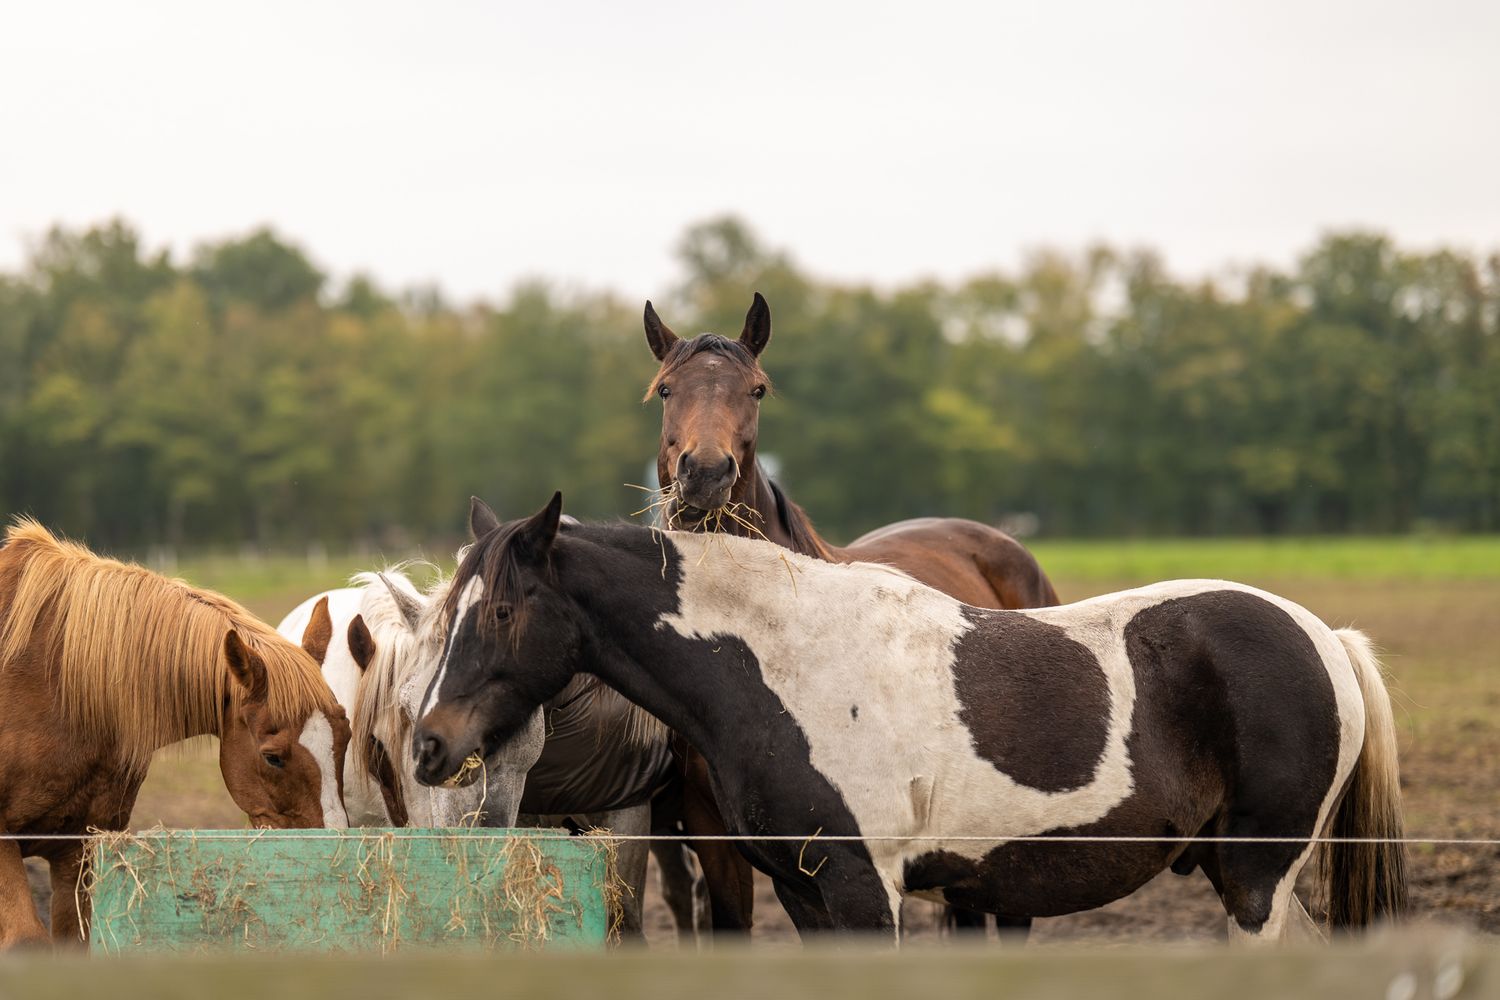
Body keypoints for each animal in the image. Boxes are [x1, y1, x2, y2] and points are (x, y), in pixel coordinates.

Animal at [412, 496, 1408, 945]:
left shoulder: (866, 890)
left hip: (1257, 879)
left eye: (500, 611)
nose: (429, 744)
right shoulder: (805, 894)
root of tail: (1326, 636)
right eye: (448, 612)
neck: (784, 665)